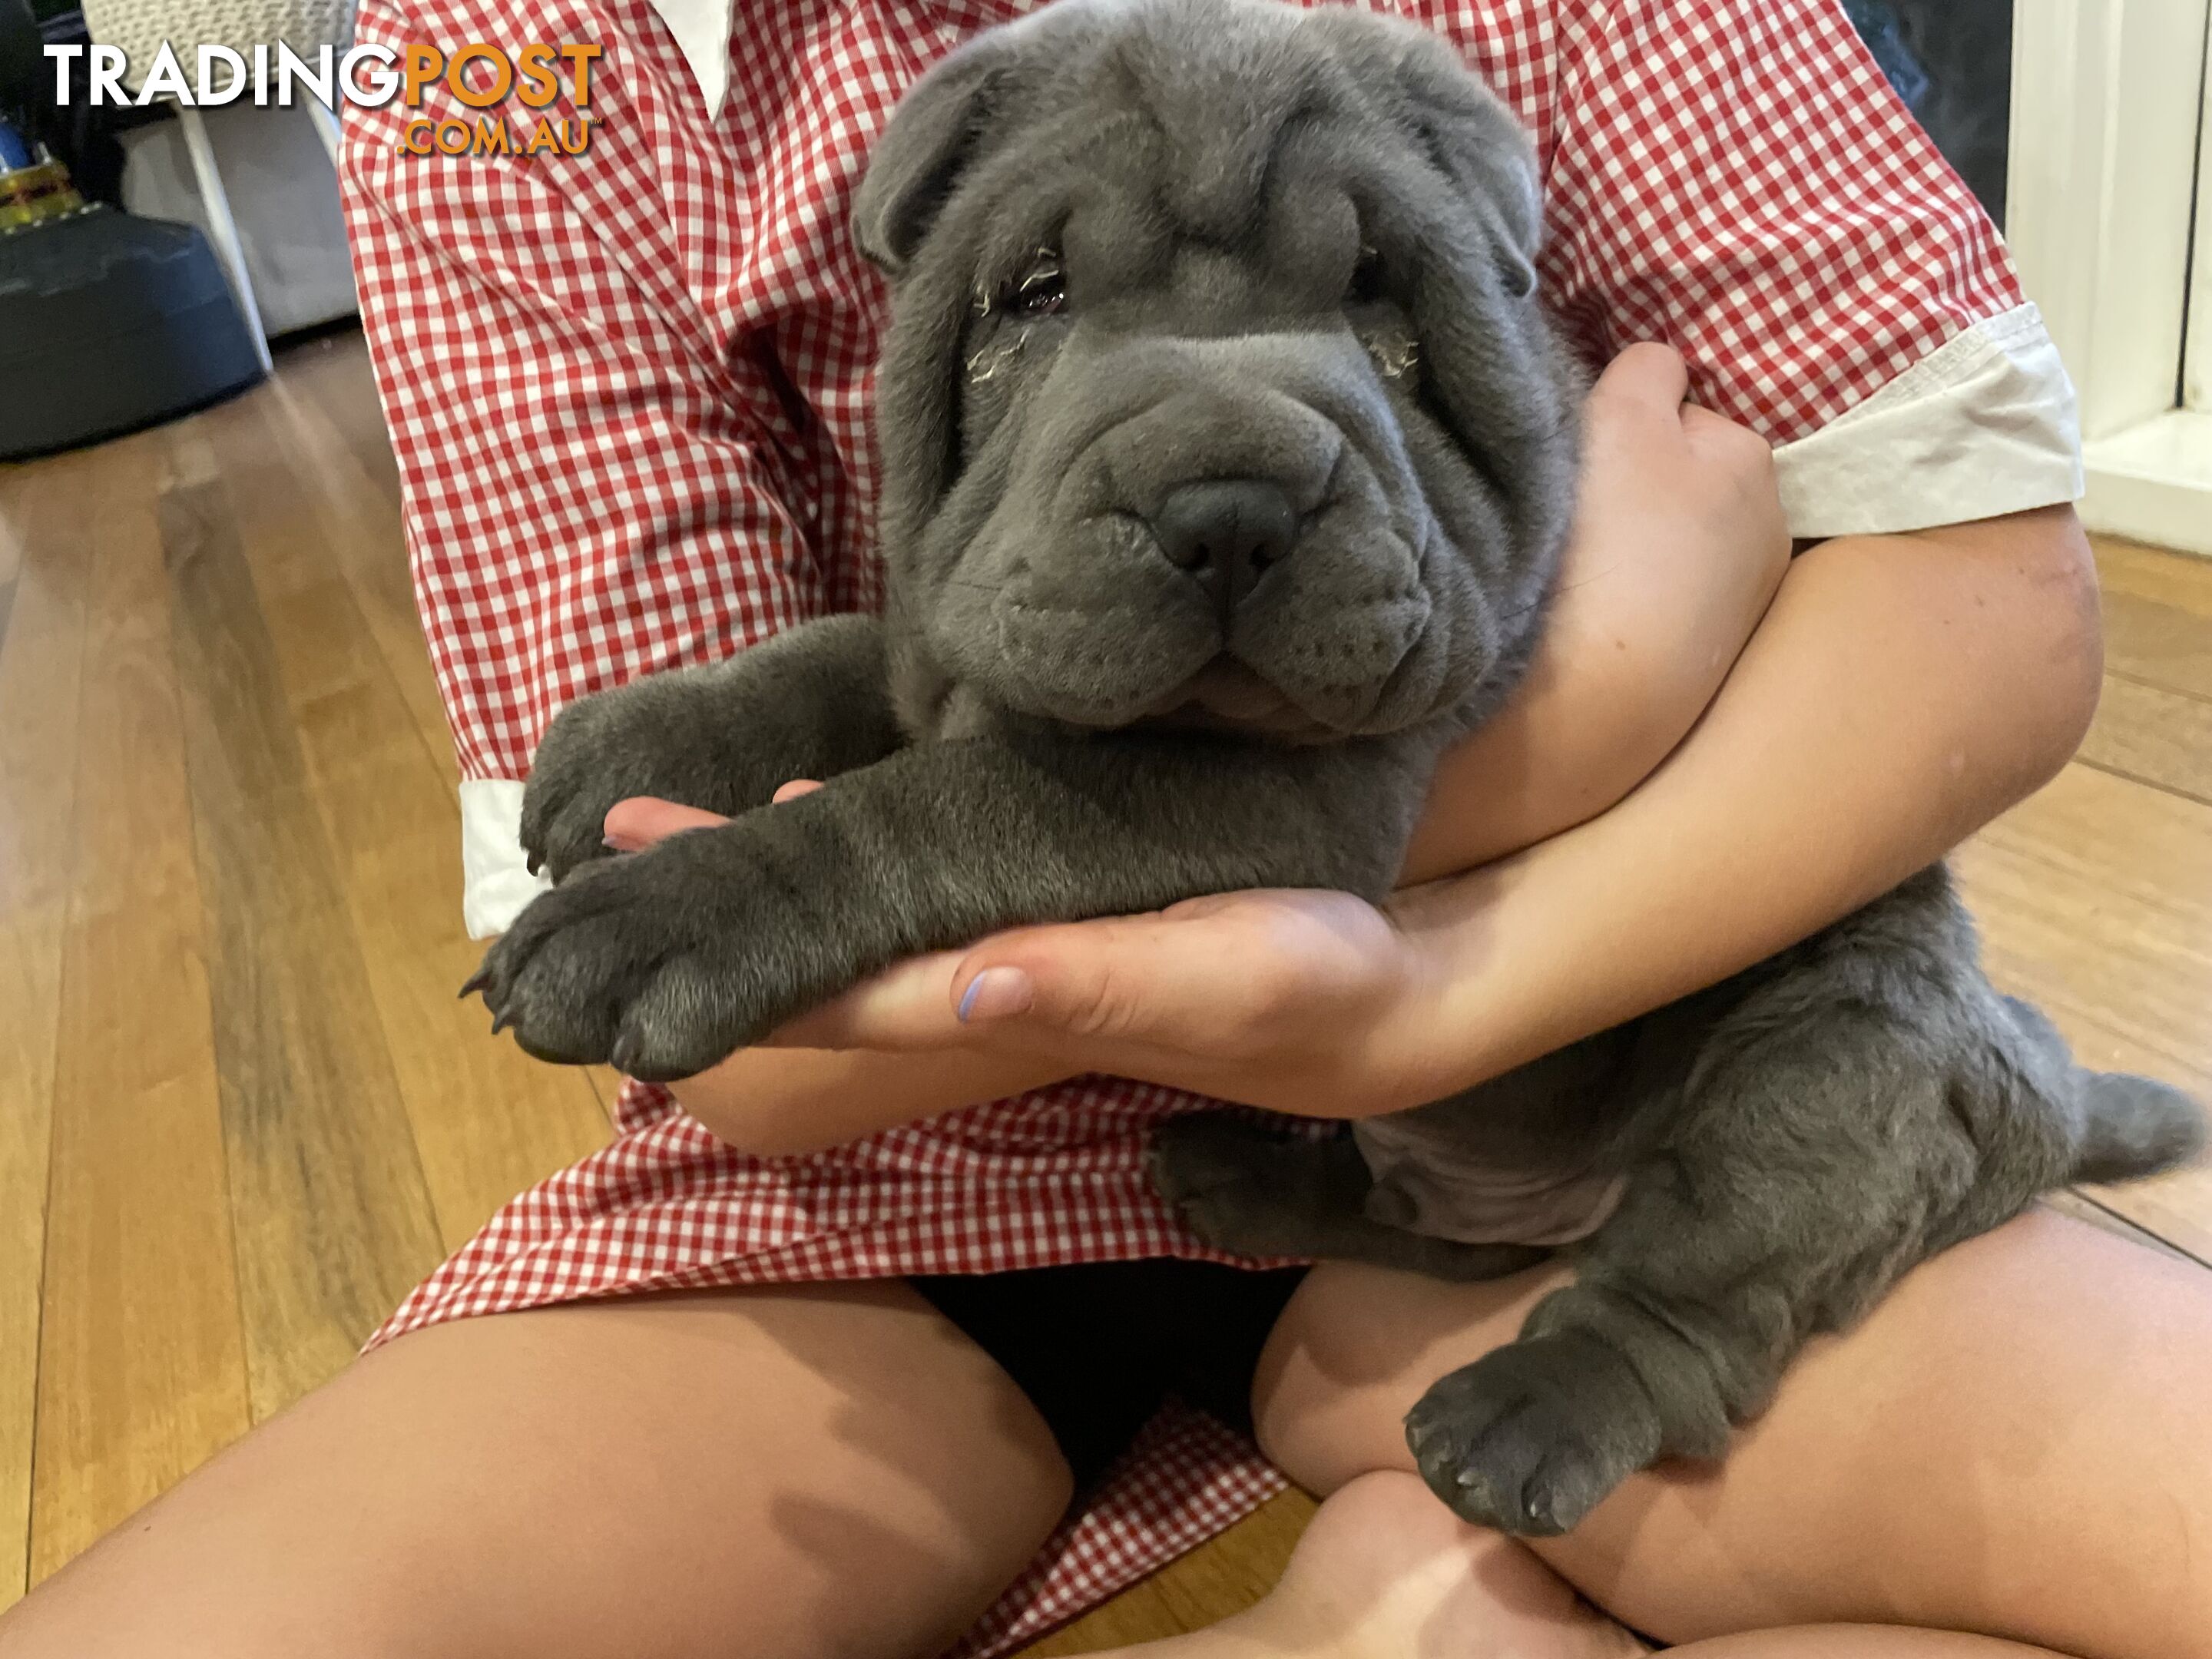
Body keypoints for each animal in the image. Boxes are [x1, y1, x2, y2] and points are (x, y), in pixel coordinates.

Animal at [466, 0, 2194, 1530]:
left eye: (1381, 294)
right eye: (1035, 293)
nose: (1228, 503)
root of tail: (2039, 1091)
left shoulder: (1266, 788)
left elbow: (930, 806)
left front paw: (671, 907)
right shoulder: (960, 612)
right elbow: (836, 654)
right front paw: (648, 731)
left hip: (1839, 1054)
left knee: (1700, 1284)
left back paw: (1527, 1411)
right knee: (1433, 1237)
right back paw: (1245, 1177)